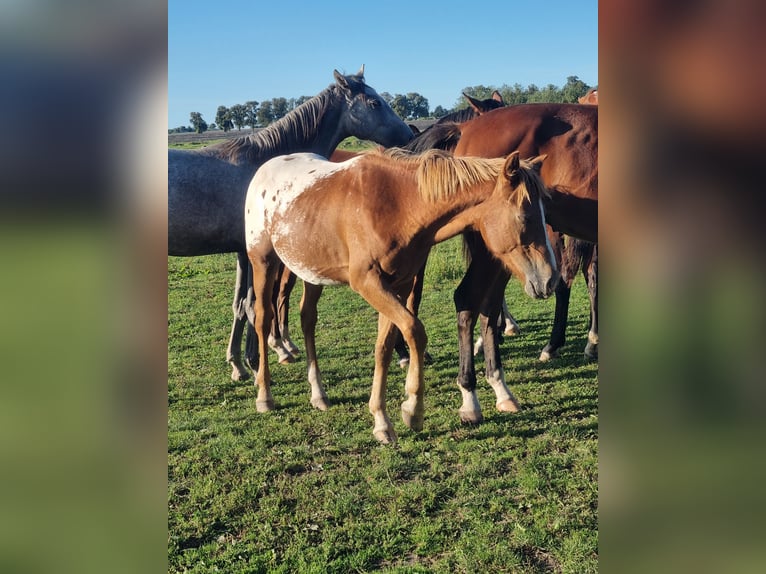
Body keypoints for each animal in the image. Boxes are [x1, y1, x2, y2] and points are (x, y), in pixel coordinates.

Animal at [168, 66, 414, 381]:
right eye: (374, 103)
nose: (409, 134)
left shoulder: (242, 254)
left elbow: (240, 306)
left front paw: (238, 362)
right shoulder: (254, 254)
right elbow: (254, 305)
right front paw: (255, 362)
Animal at [244, 148, 558, 443]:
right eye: (525, 216)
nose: (550, 279)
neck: (397, 205)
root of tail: (264, 170)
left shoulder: (399, 284)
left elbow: (384, 347)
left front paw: (382, 420)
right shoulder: (369, 284)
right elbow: (414, 330)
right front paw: (413, 410)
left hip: (313, 274)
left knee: (308, 320)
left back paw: (318, 394)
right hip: (263, 263)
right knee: (262, 319)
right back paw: (264, 395)